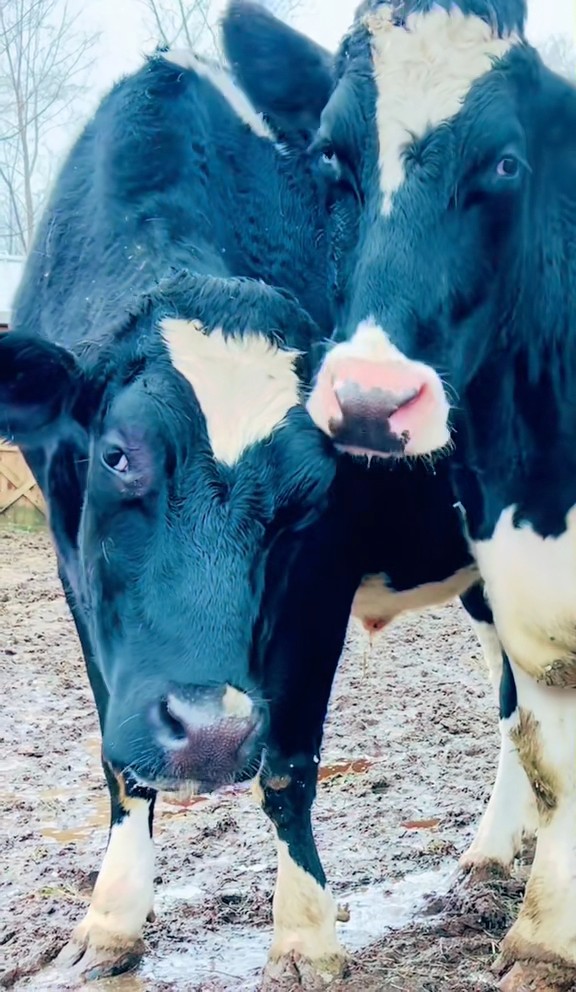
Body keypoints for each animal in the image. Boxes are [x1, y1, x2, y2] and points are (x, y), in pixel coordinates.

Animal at [221, 0, 576, 982]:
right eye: (331, 159)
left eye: (505, 161)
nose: (374, 403)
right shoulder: (513, 571)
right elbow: (551, 752)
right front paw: (546, 936)